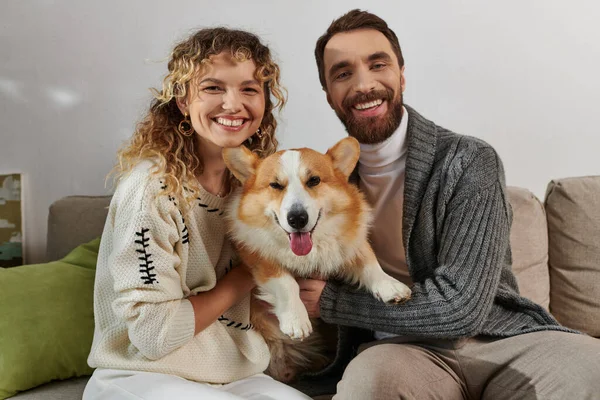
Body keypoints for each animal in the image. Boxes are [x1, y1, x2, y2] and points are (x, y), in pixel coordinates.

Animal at [221, 137, 412, 382]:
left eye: (314, 181)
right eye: (275, 185)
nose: (297, 219)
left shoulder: (351, 241)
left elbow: (369, 262)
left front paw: (390, 286)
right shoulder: (257, 254)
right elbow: (286, 282)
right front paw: (296, 319)